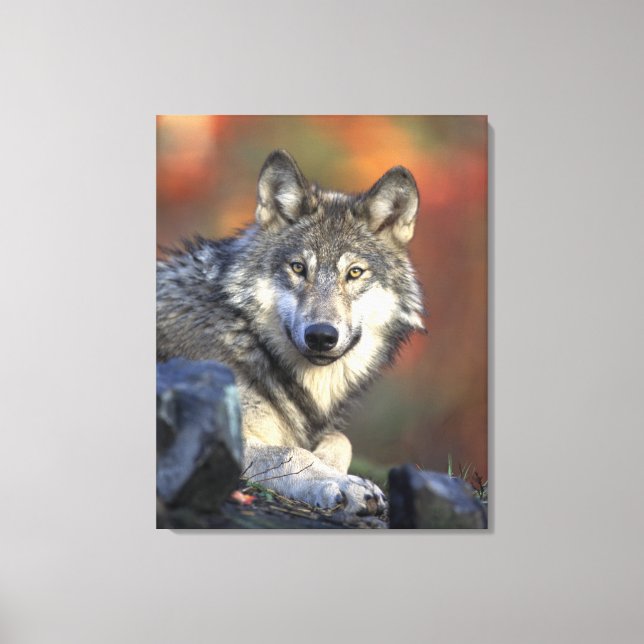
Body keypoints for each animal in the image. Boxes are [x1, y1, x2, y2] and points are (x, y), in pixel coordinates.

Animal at [157, 150, 425, 516]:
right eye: (298, 268)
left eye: (354, 273)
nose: (321, 336)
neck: (248, 338)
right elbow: (291, 453)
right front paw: (344, 484)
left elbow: (340, 440)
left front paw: (333, 467)